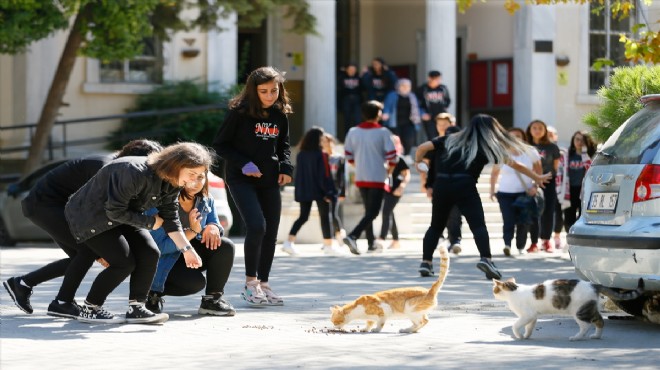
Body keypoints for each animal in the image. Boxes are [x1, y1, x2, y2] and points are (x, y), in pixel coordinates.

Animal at [496, 278, 644, 342]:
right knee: (600, 321)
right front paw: (526, 336)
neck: (514, 291)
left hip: (579, 311)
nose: (493, 292)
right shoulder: (532, 316)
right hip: (588, 307)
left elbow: (516, 326)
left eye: (495, 289)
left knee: (586, 325)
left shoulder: (527, 315)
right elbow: (529, 327)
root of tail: (593, 284)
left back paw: (577, 337)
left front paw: (519, 336)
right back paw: (596, 336)